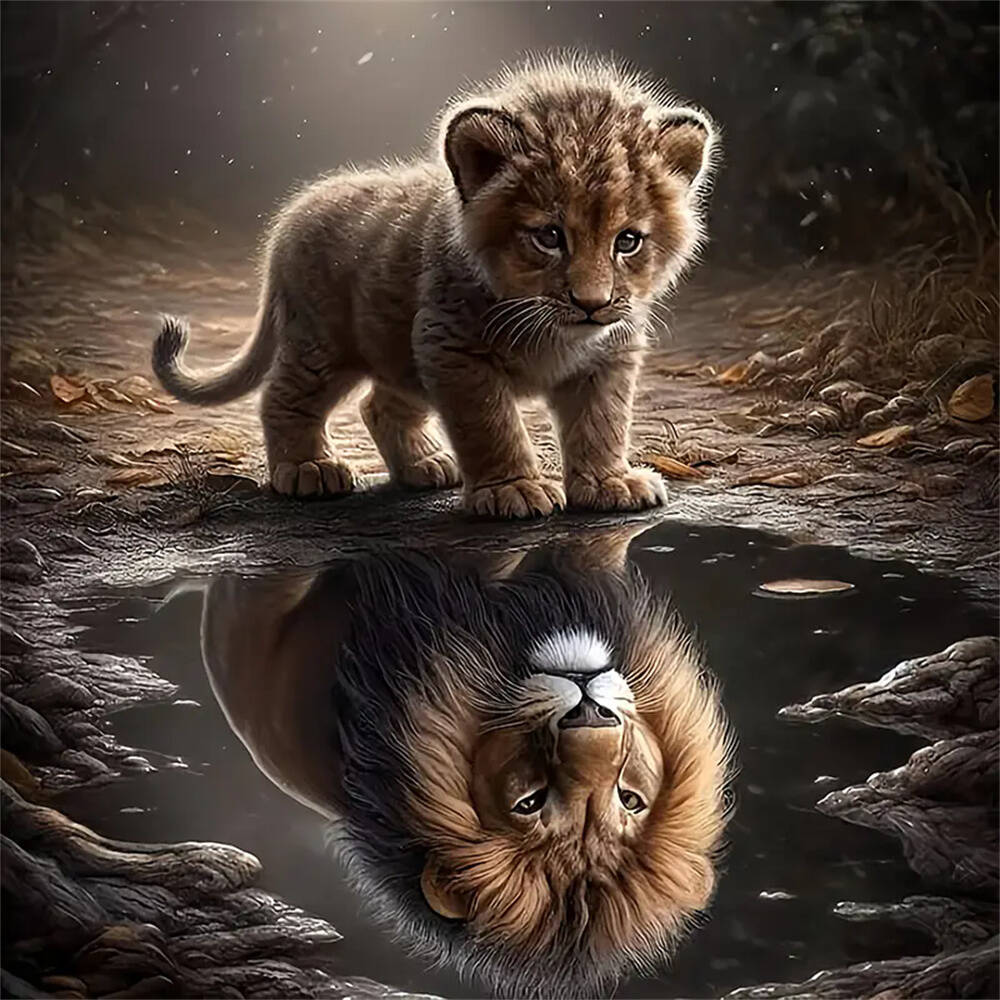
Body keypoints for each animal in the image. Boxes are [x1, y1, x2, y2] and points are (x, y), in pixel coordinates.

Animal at [153, 53, 718, 518]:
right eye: (550, 237)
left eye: (628, 241)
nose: (591, 304)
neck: (552, 327)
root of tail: (293, 213)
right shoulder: (453, 350)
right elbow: (491, 424)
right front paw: (512, 490)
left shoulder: (608, 356)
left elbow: (603, 421)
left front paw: (608, 484)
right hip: (322, 342)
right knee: (282, 396)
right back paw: (309, 470)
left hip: (400, 354)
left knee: (378, 406)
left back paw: (425, 466)